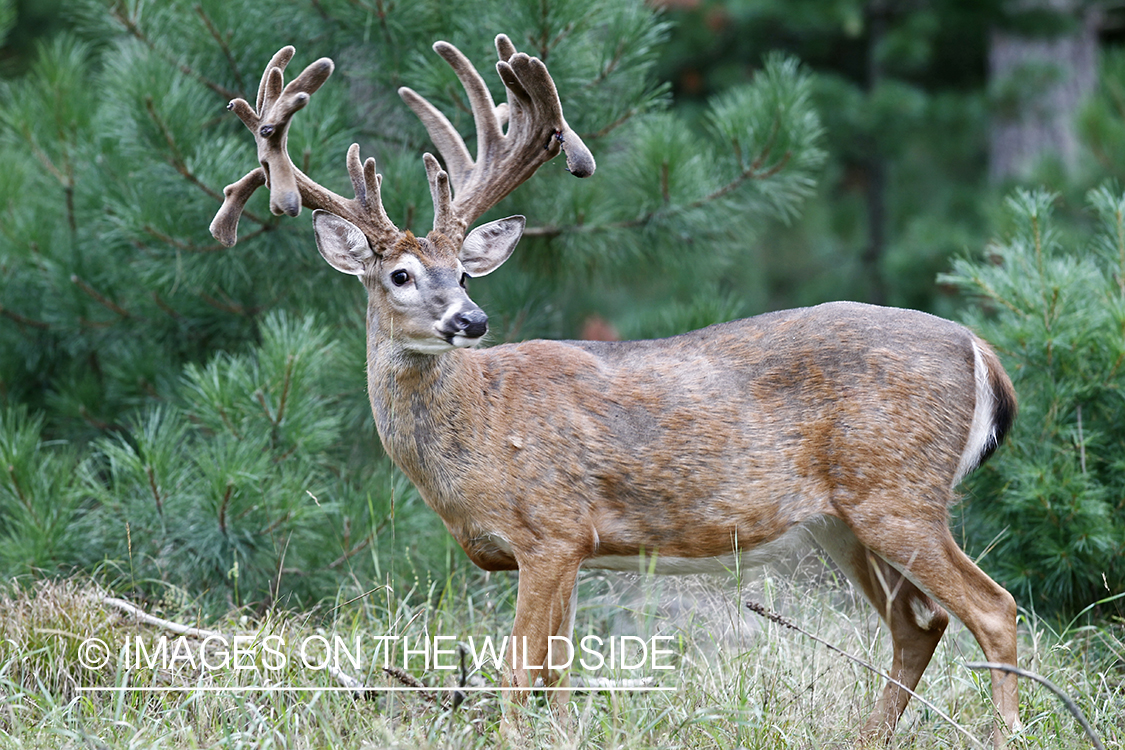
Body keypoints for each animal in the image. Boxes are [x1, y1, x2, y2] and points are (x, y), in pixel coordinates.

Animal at [209, 33, 1021, 746]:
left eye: (465, 271)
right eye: (401, 275)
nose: (472, 318)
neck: (478, 429)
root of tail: (979, 349)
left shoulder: (551, 529)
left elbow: (520, 674)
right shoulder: (573, 549)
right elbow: (560, 676)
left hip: (897, 491)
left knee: (994, 608)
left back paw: (1005, 733)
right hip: (841, 518)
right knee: (918, 622)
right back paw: (867, 737)